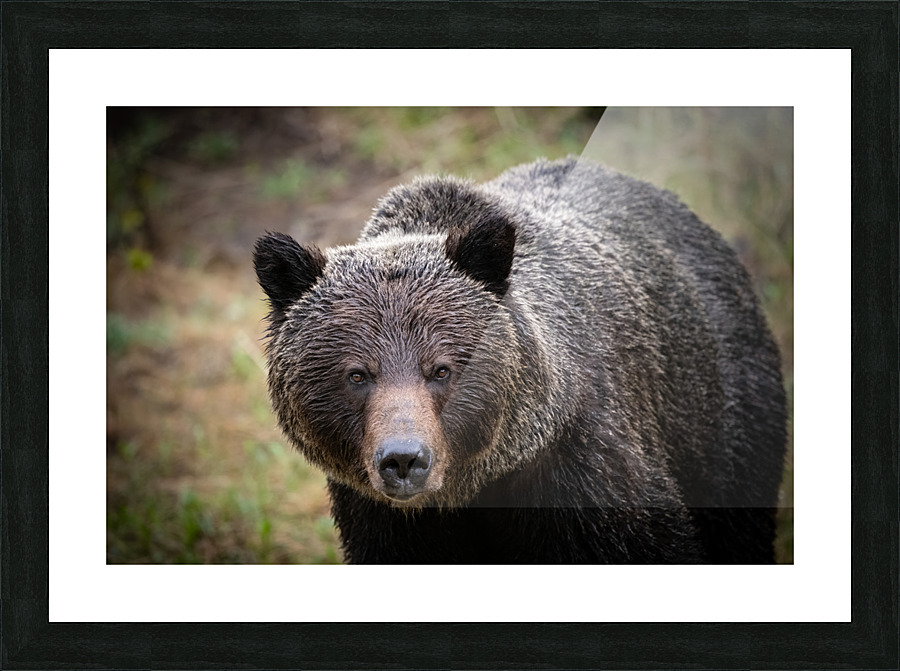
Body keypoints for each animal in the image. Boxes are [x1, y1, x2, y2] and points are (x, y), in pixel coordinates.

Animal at [253, 157, 787, 564]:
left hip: (720, 418)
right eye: (358, 374)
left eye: (441, 369)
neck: (475, 486)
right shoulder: (383, 518)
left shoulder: (583, 472)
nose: (403, 460)